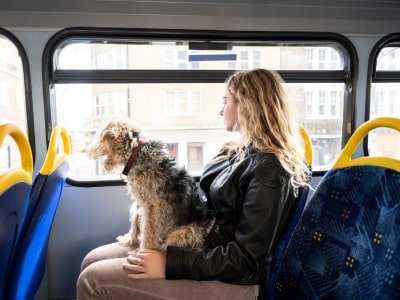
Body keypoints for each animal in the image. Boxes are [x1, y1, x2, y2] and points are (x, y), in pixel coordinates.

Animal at [86, 119, 214, 253]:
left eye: (99, 137)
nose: (87, 151)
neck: (135, 153)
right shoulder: (141, 199)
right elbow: (135, 222)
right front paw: (129, 240)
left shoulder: (154, 206)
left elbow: (148, 229)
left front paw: (144, 249)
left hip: (186, 232)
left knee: (168, 245)